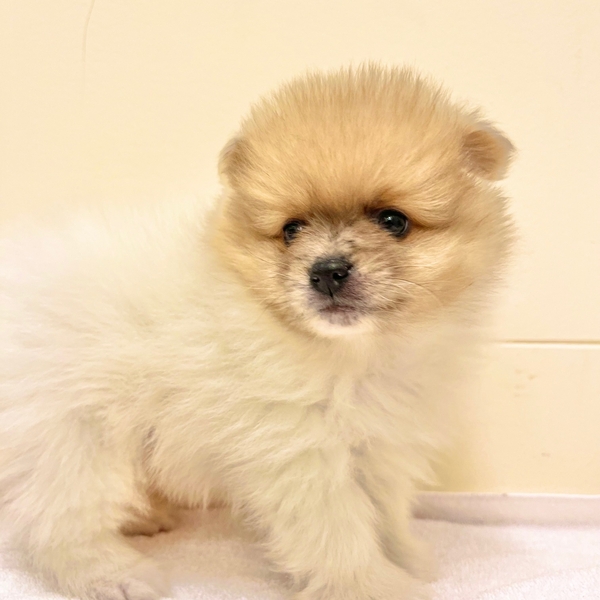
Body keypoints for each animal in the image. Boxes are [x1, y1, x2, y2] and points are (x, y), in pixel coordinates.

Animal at [0, 65, 514, 599]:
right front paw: (372, 585)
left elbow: (384, 510)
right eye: (291, 229)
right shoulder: (298, 449)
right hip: (75, 429)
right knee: (56, 519)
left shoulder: (379, 440)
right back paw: (112, 574)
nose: (327, 271)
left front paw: (406, 557)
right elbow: (338, 531)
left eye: (393, 221)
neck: (355, 354)